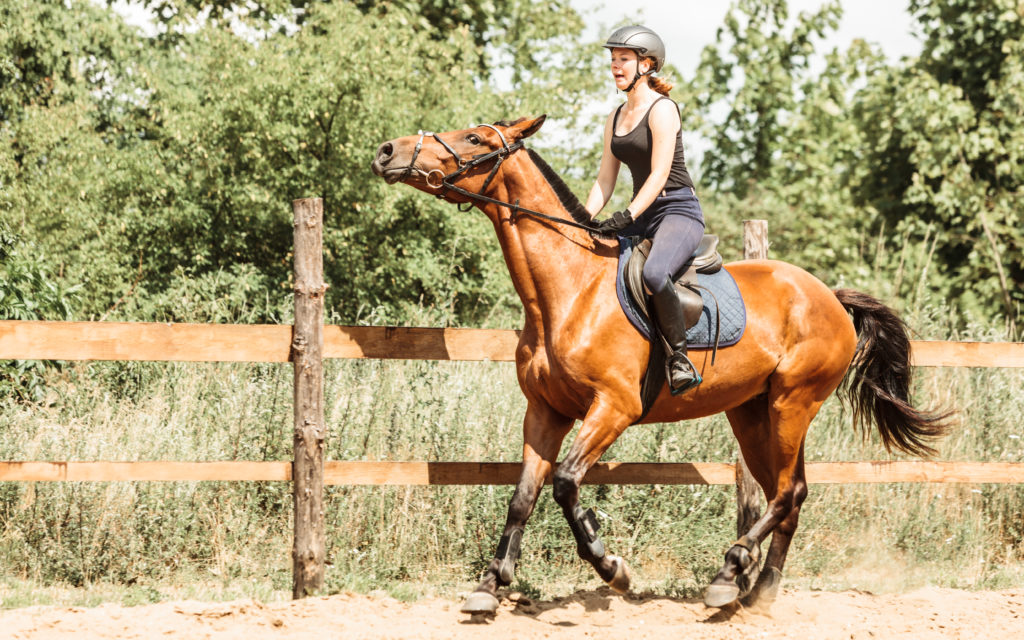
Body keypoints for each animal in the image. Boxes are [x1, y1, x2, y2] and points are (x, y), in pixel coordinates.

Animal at [370, 115, 950, 614]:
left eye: (473, 138)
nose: (387, 151)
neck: (569, 289)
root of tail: (828, 295)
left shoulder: (614, 408)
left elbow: (565, 484)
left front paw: (611, 565)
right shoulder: (544, 412)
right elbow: (523, 496)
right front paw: (490, 586)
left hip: (793, 404)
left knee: (786, 493)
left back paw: (729, 573)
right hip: (753, 413)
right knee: (790, 494)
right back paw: (757, 591)